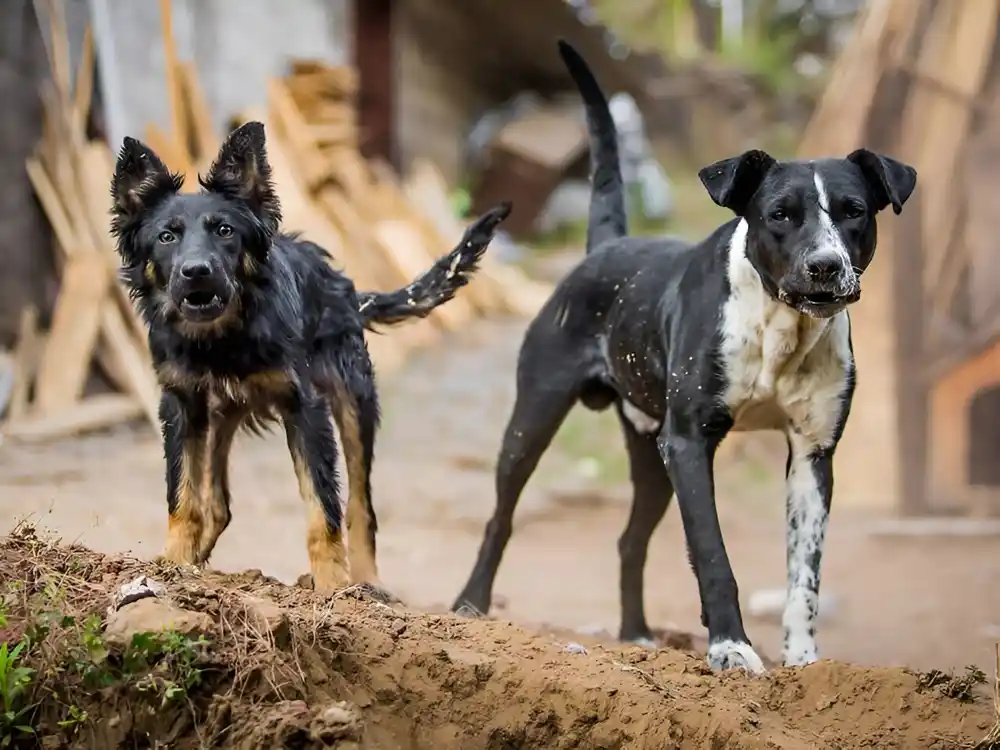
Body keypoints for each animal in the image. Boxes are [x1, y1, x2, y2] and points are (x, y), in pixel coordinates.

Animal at [113, 120, 512, 596]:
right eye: (166, 236)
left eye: (225, 231)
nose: (196, 272)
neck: (223, 339)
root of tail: (343, 285)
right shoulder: (181, 406)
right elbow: (184, 495)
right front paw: (174, 564)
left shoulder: (306, 409)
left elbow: (324, 509)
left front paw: (332, 585)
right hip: (219, 418)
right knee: (218, 504)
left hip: (355, 403)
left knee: (360, 507)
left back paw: (367, 583)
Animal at [454, 41, 916, 676]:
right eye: (780, 213)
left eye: (854, 211)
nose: (825, 266)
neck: (779, 326)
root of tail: (606, 246)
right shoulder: (690, 442)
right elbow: (714, 554)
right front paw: (731, 649)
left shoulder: (812, 455)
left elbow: (805, 576)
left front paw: (803, 662)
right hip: (535, 420)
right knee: (501, 518)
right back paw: (470, 605)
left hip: (651, 454)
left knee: (629, 540)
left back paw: (635, 634)